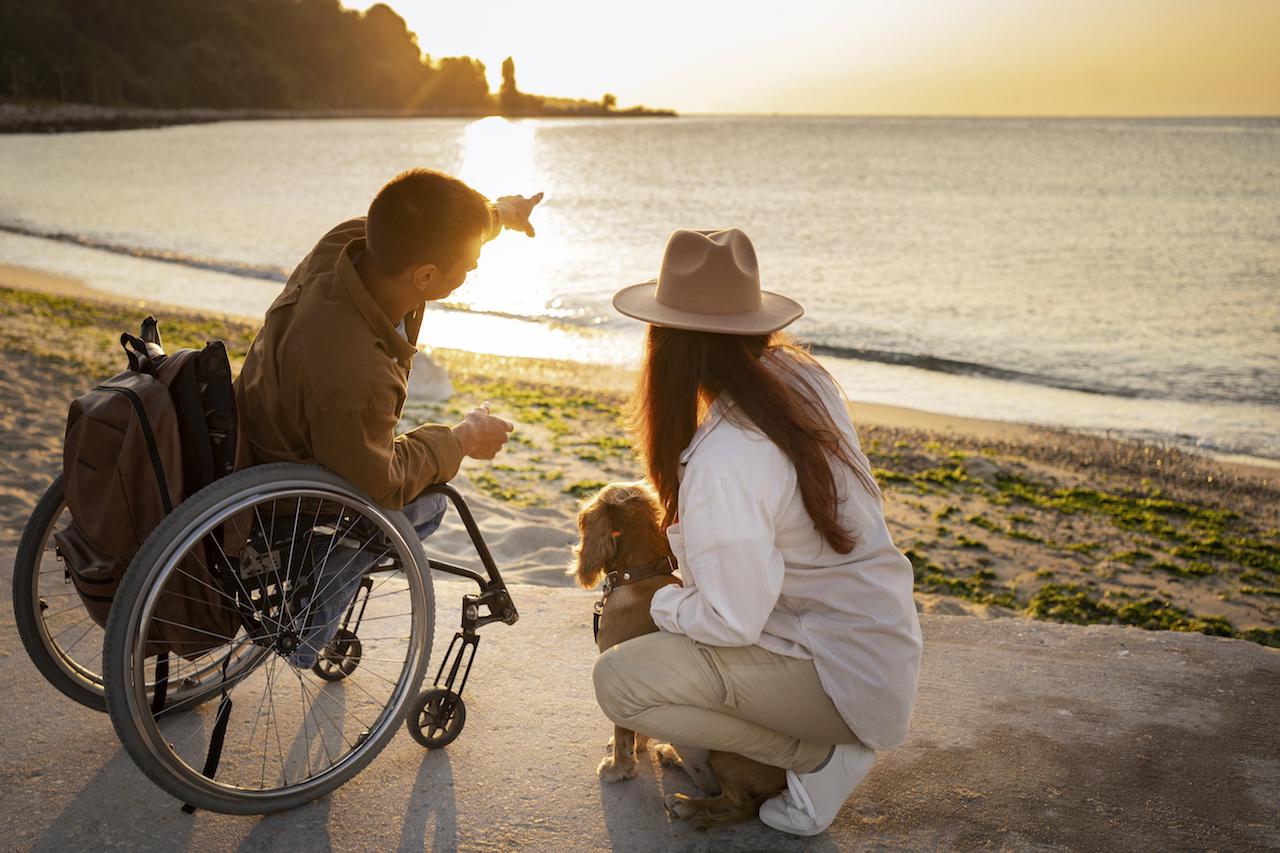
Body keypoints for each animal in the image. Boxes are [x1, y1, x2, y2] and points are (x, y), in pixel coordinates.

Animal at [573, 481, 788, 824]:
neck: (641, 573)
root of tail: (785, 781)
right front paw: (641, 747)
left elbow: (622, 736)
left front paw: (618, 769)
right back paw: (671, 756)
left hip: (725, 754)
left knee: (738, 804)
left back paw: (687, 804)